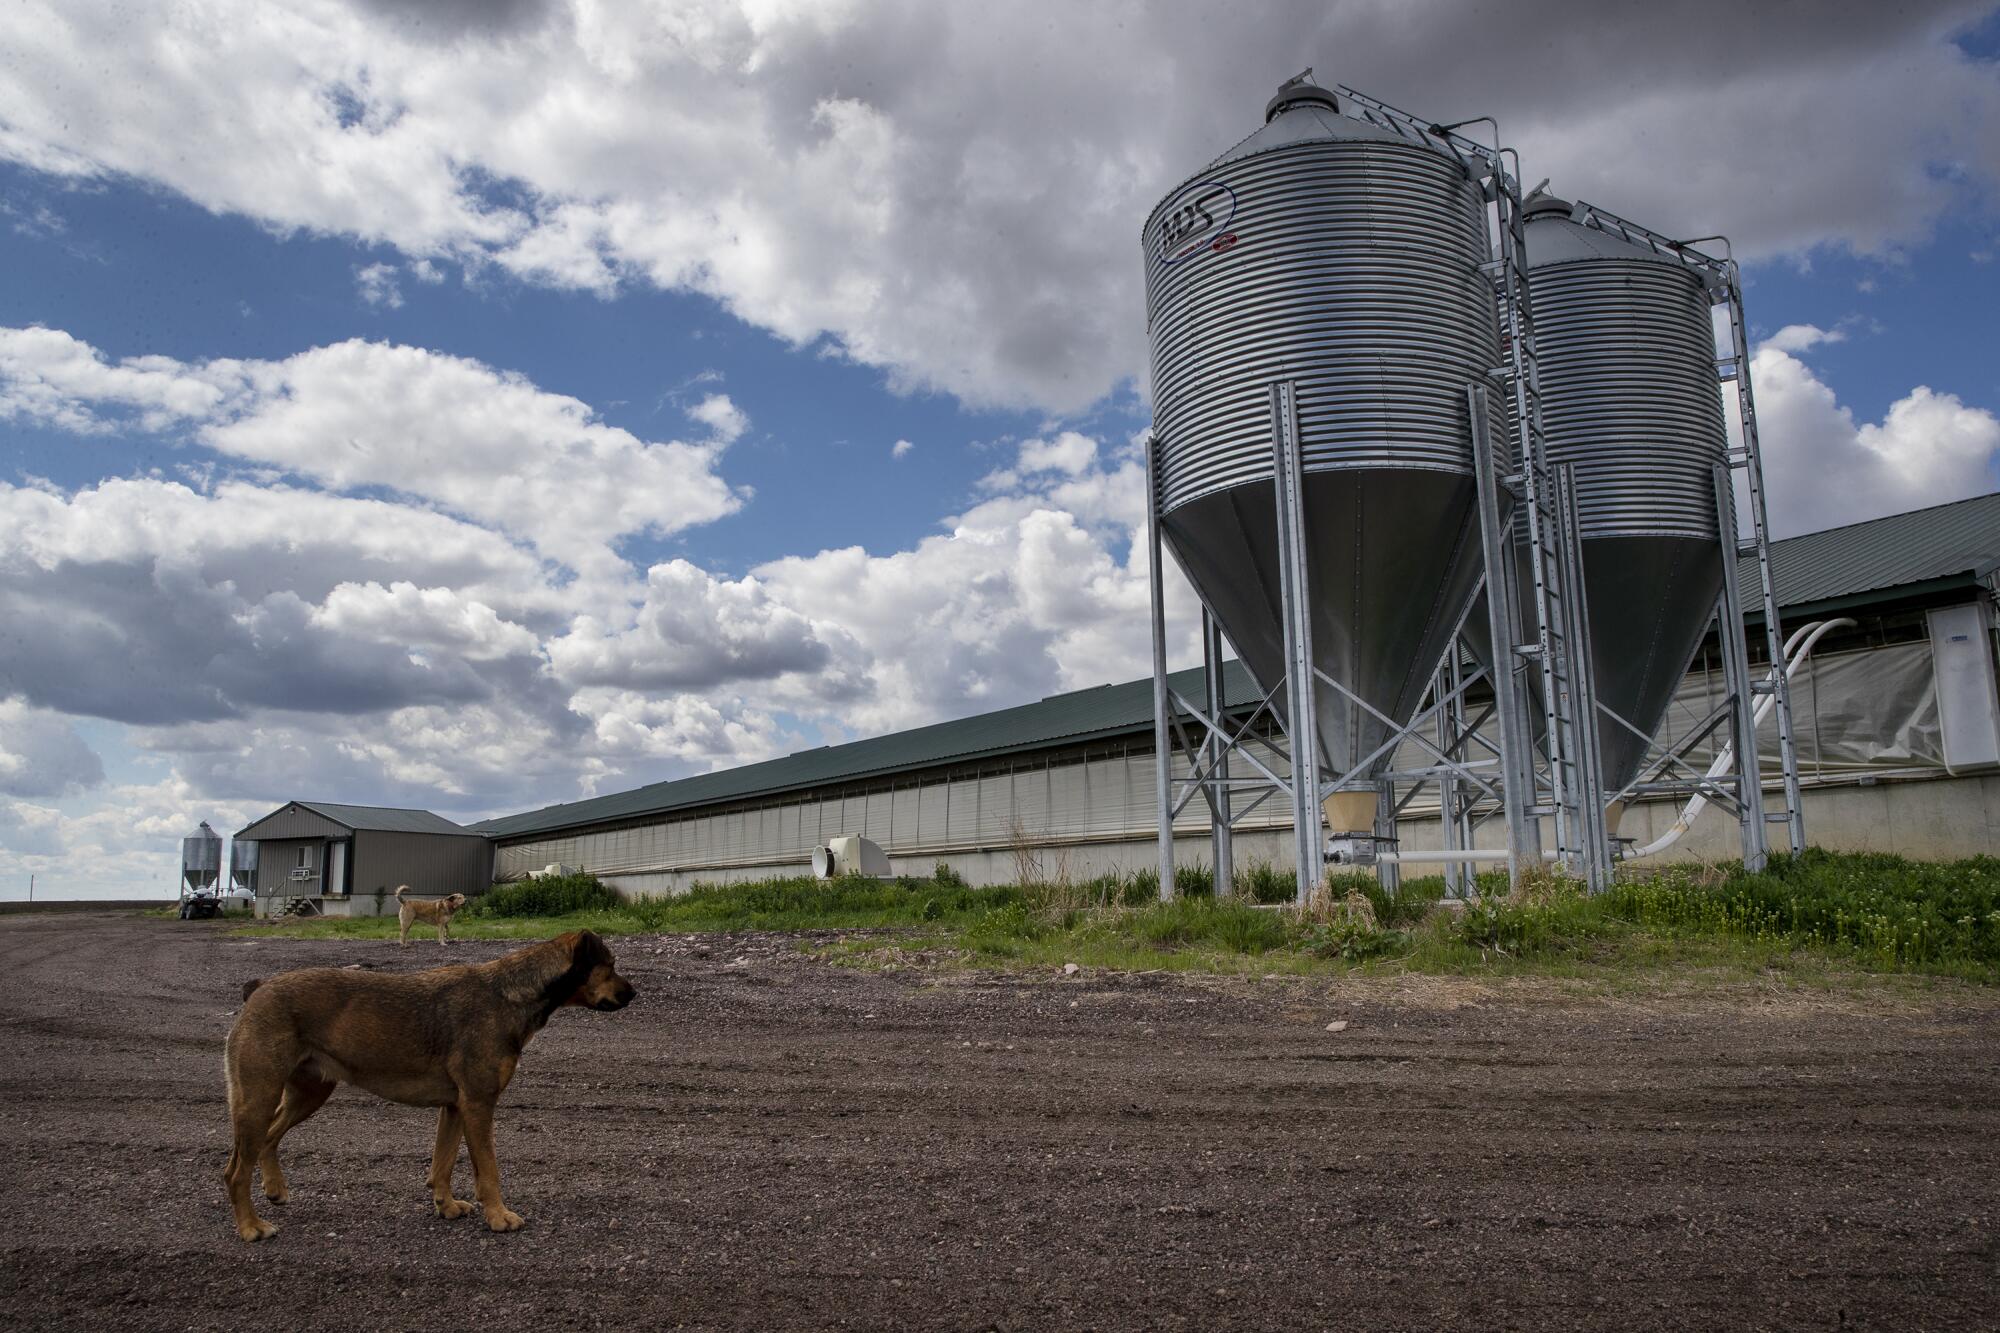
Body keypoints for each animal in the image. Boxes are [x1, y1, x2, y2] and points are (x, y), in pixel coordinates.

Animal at [218, 928, 628, 1240]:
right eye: (609, 966)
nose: (633, 993)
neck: (509, 994)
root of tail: (259, 987)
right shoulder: (479, 1104)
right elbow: (488, 1171)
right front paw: (498, 1216)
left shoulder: (456, 1107)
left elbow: (441, 1164)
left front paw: (445, 1205)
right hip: (257, 1098)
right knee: (235, 1171)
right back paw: (251, 1227)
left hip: (307, 1094)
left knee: (269, 1138)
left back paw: (274, 1190)